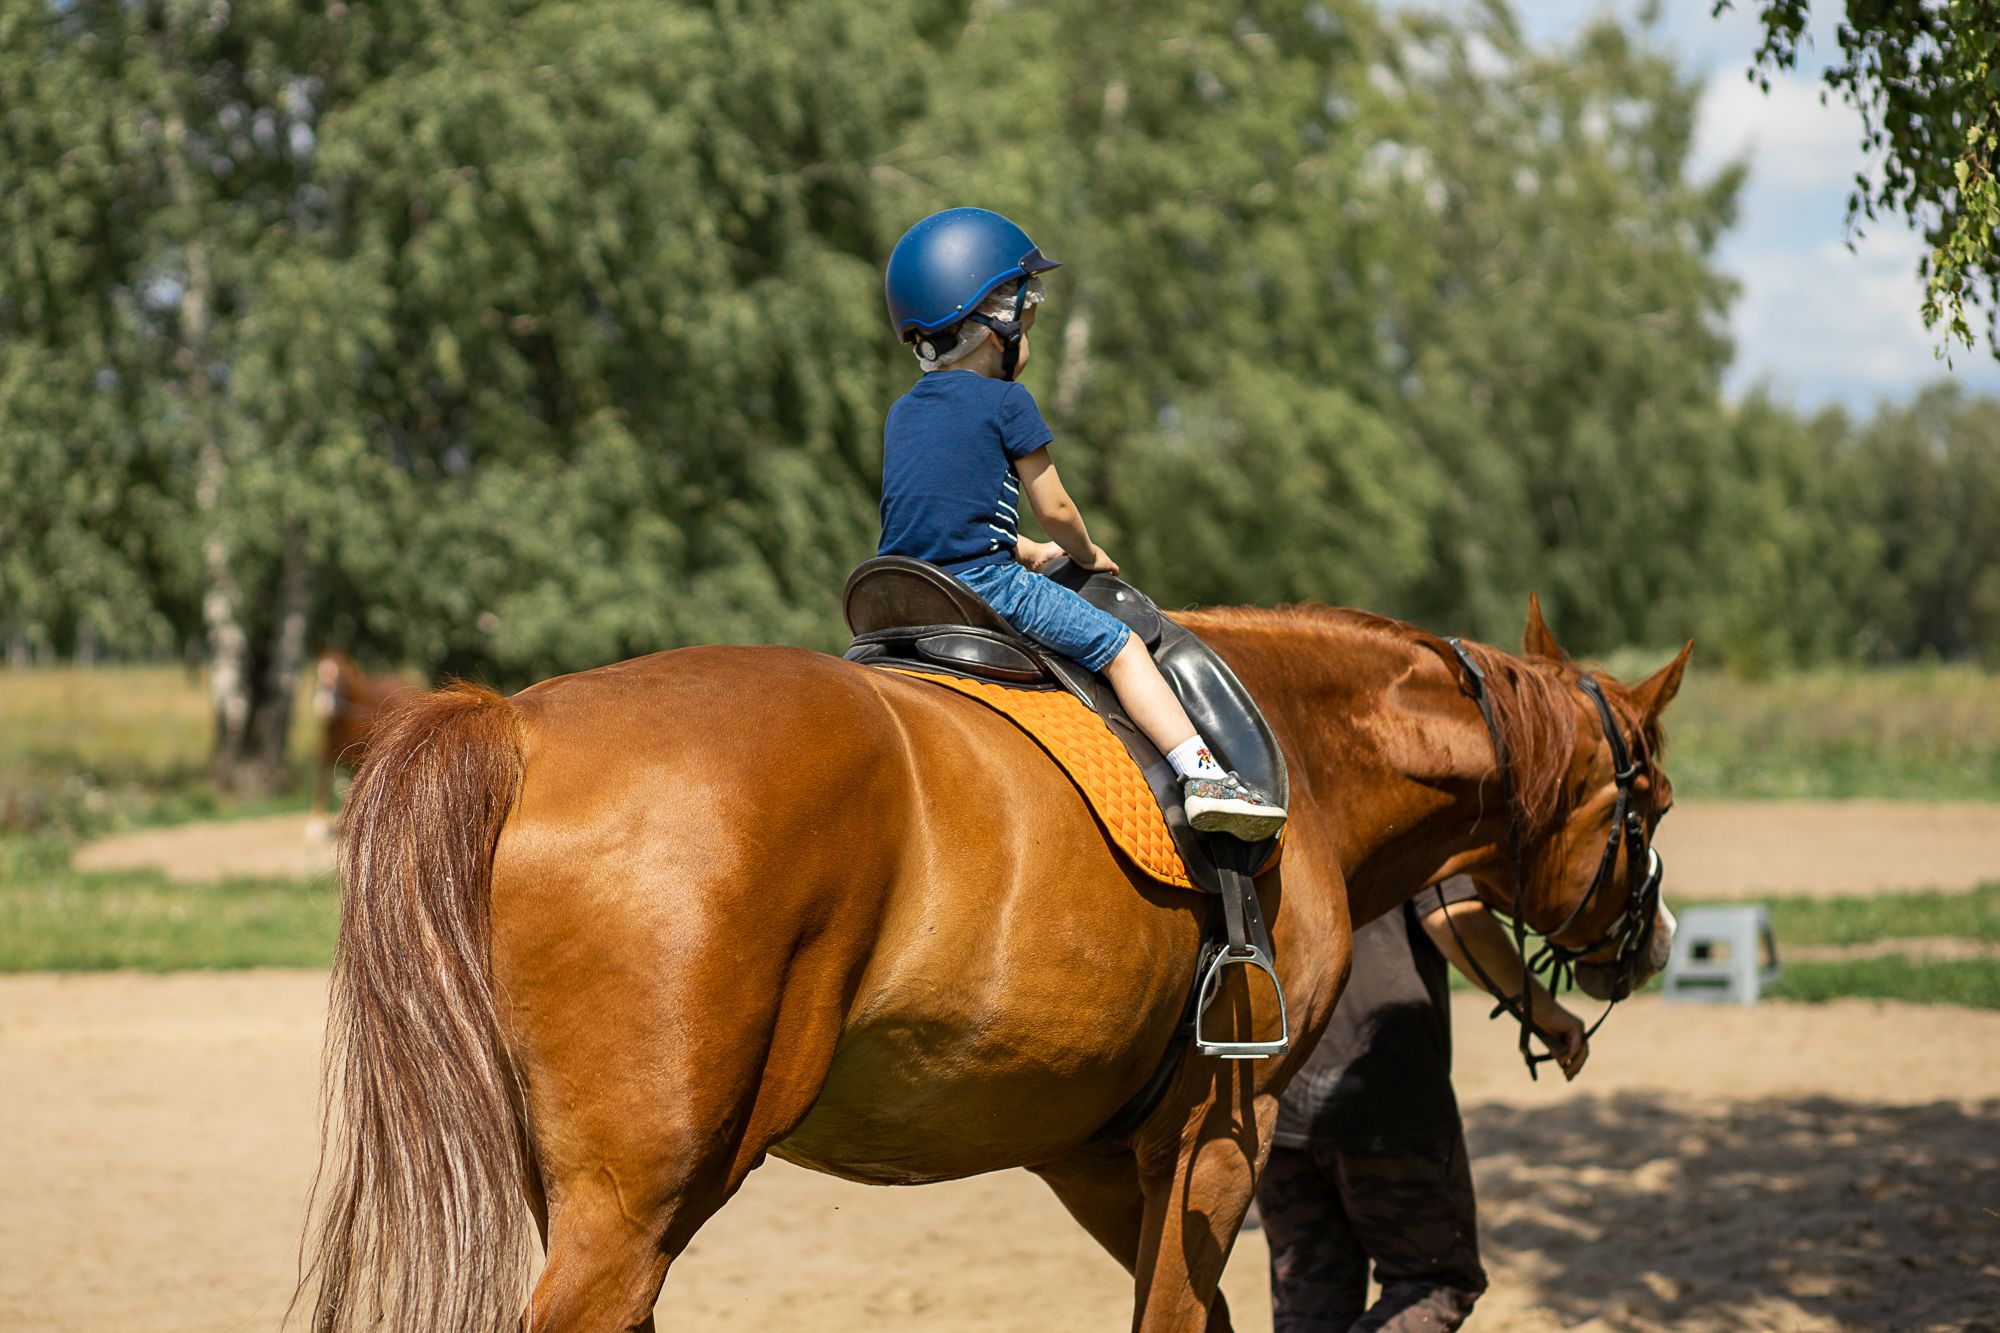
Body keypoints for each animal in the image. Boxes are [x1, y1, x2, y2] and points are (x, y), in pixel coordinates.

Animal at [300, 648, 414, 836]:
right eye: (318, 673)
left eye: (343, 676)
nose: (323, 704)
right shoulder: (325, 755)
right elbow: (321, 782)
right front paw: (316, 824)